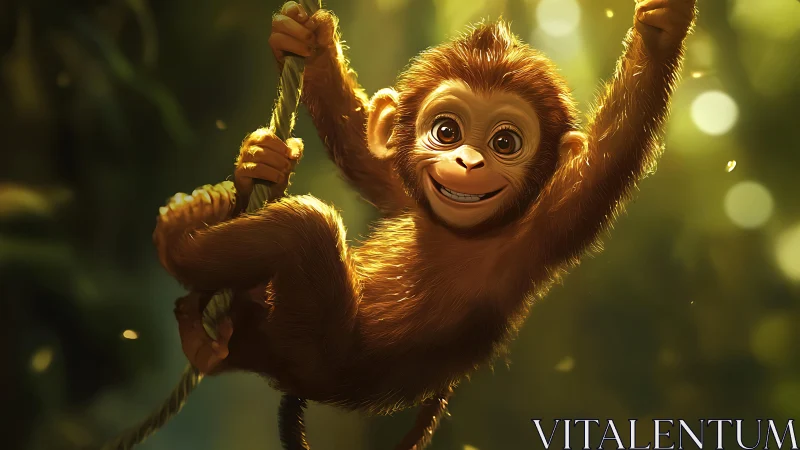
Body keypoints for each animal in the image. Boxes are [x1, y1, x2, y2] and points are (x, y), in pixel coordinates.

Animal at [154, 0, 695, 430]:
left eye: (505, 142)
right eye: (446, 131)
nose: (469, 162)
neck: (459, 232)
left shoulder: (546, 225)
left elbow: (610, 154)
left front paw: (662, 30)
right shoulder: (412, 196)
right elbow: (374, 161)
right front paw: (307, 38)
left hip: (308, 345)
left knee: (304, 232)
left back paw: (181, 248)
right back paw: (254, 176)